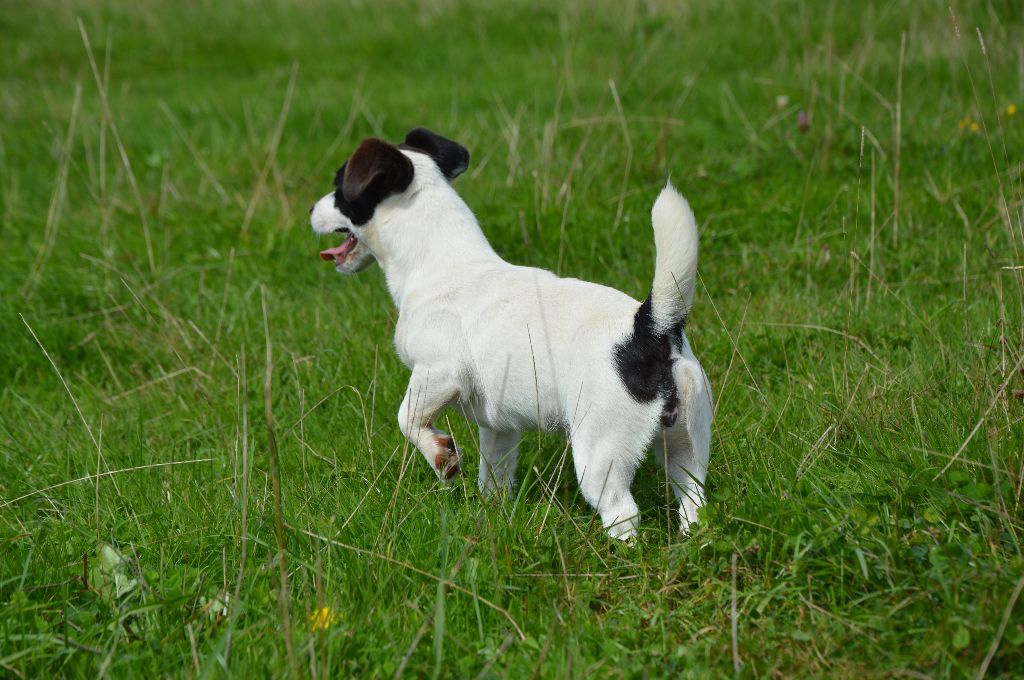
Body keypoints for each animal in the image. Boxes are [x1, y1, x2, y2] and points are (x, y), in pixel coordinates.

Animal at [309, 129, 712, 540]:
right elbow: (495, 475)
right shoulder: (498, 426)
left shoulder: (438, 372)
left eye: (339, 186)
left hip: (601, 455)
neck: (440, 263)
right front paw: (492, 514)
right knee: (694, 502)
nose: (311, 209)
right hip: (687, 447)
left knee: (622, 513)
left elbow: (407, 418)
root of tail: (650, 325)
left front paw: (441, 456)